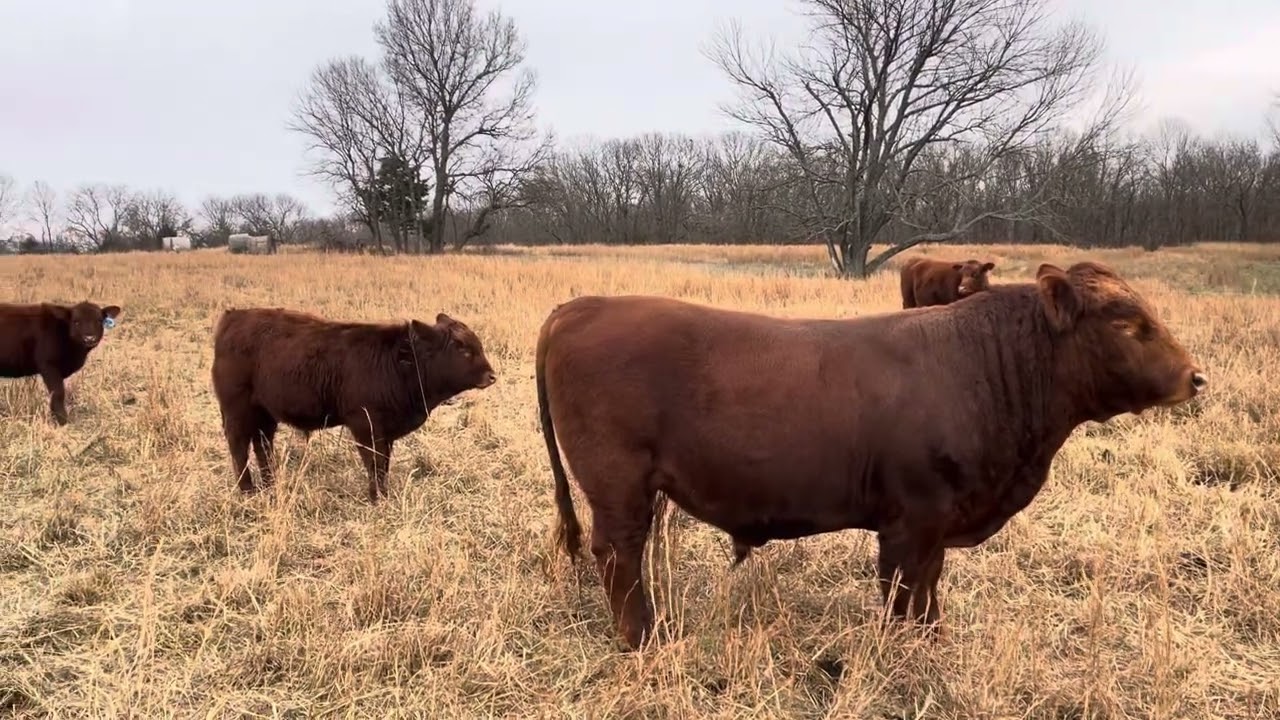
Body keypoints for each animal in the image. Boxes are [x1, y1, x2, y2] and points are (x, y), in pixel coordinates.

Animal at [210, 307, 498, 502]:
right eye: (462, 348)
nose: (491, 376)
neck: (399, 362)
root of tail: (233, 317)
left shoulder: (385, 433)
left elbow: (384, 463)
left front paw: (383, 493)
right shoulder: (365, 427)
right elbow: (374, 463)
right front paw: (377, 497)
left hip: (265, 415)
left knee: (262, 445)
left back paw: (270, 484)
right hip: (237, 412)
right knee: (239, 447)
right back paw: (247, 489)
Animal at [535, 261, 1207, 650]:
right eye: (1125, 323)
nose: (1195, 377)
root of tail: (583, 305)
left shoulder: (937, 523)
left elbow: (929, 588)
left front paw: (932, 642)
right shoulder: (913, 518)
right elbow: (903, 590)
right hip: (618, 483)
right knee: (619, 555)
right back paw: (643, 638)